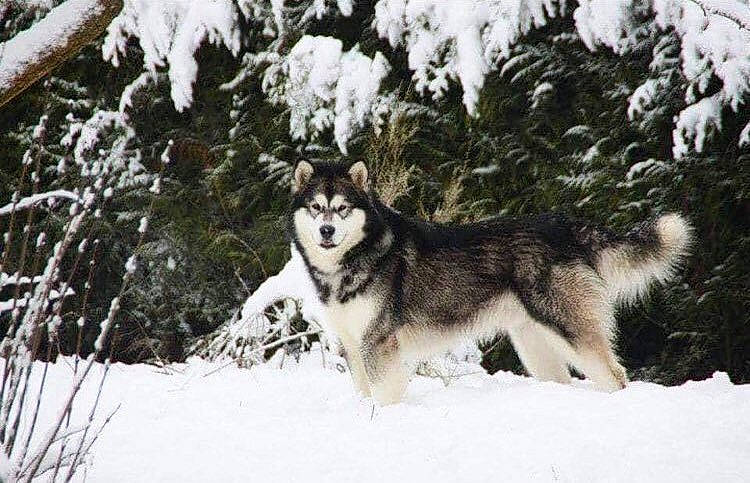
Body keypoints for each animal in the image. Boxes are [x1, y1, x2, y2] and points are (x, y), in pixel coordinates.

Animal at [289, 159, 692, 405]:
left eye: (342, 208)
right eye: (316, 207)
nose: (327, 231)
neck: (358, 256)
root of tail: (564, 226)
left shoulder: (380, 344)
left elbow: (385, 396)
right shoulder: (353, 345)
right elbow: (365, 394)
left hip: (568, 327)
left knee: (615, 375)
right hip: (534, 345)